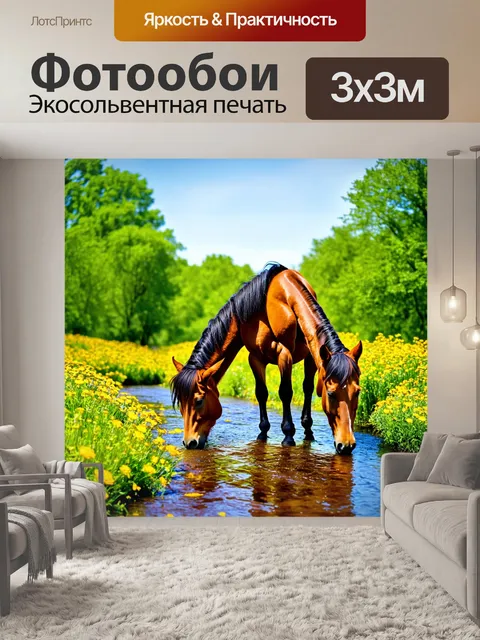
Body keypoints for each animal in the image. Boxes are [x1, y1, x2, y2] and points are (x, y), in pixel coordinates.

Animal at [171, 263, 362, 454]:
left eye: (199, 401)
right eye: (181, 402)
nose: (190, 442)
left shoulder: (289, 354)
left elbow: (286, 392)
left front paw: (288, 435)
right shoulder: (255, 358)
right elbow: (262, 393)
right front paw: (263, 432)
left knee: (307, 388)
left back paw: (308, 430)